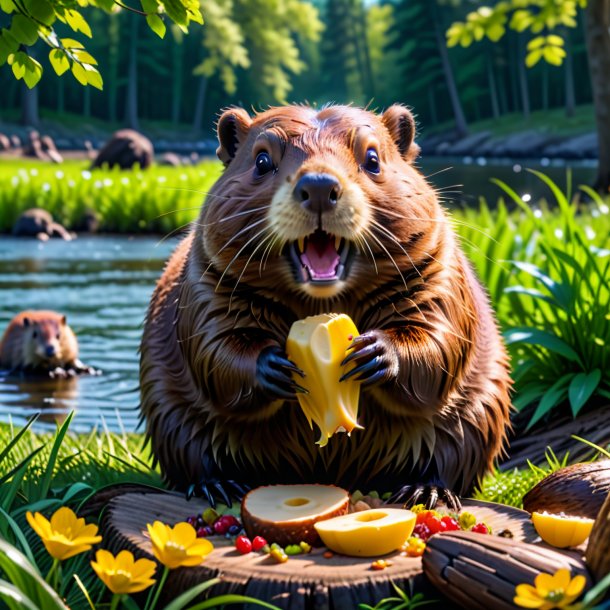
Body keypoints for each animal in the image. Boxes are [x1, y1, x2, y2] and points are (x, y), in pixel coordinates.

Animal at [140, 104, 510, 508]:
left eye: (373, 158)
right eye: (262, 160)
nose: (319, 187)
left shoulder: (438, 269)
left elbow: (437, 337)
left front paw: (375, 353)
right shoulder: (205, 278)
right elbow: (214, 345)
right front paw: (277, 367)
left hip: (476, 416)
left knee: (448, 457)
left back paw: (426, 490)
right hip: (173, 418)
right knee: (196, 454)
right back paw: (219, 485)